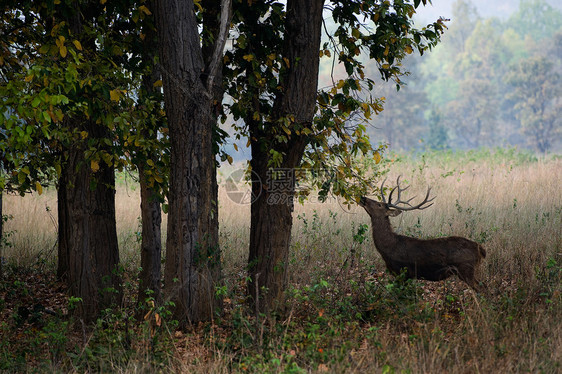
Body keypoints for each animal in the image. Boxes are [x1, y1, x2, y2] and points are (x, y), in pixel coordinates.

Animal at [358, 176, 486, 292]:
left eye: (379, 205)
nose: (362, 197)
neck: (388, 247)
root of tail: (480, 248)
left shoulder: (403, 271)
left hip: (466, 268)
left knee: (481, 288)